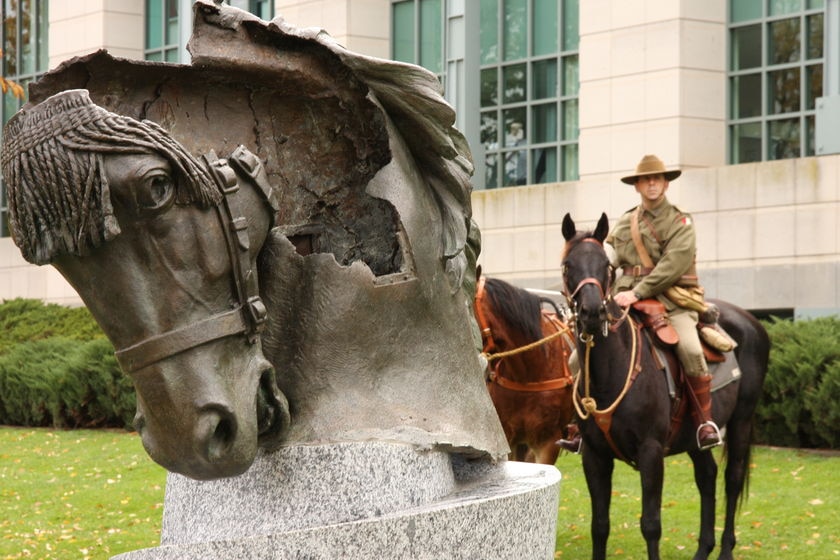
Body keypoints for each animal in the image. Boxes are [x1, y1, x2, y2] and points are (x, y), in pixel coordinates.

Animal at [564, 212, 768, 556]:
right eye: (568, 265)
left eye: (606, 265)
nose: (592, 313)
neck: (612, 370)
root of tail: (750, 321)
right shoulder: (594, 455)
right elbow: (599, 525)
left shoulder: (651, 451)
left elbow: (651, 524)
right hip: (695, 435)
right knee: (707, 476)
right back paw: (703, 550)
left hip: (742, 420)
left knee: (732, 478)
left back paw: (726, 549)